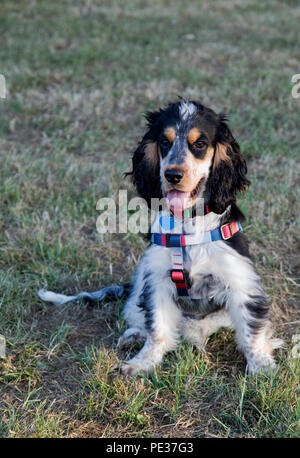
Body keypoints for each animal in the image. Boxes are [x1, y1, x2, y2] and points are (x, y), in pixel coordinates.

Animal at [38, 100, 282, 376]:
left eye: (199, 143)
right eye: (165, 142)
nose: (172, 175)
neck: (188, 223)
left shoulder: (241, 283)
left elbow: (251, 333)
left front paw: (263, 368)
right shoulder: (157, 281)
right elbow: (158, 329)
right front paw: (142, 363)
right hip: (139, 293)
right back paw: (133, 336)